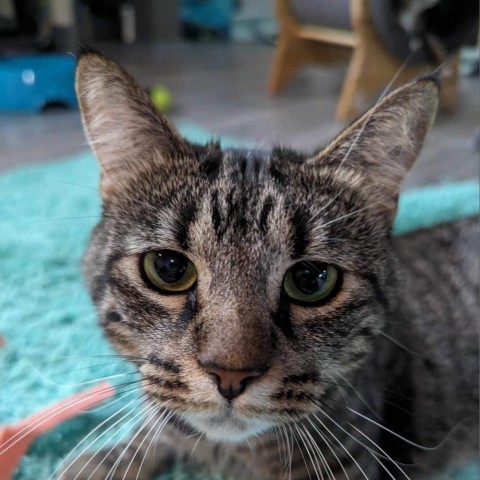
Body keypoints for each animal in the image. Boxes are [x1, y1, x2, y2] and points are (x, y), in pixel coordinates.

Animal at [58, 49, 478, 480]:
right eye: (168, 268)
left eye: (310, 280)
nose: (231, 374)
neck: (229, 454)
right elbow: (156, 422)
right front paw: (108, 459)